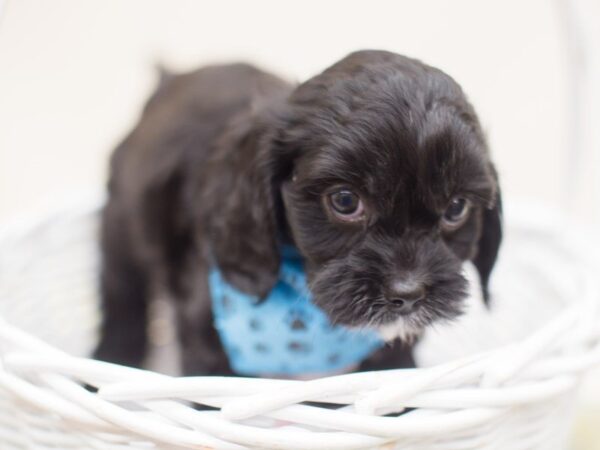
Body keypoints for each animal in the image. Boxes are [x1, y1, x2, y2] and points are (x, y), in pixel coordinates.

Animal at [95, 50, 502, 376]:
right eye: (345, 201)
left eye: (456, 208)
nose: (409, 294)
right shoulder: (204, 334)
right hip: (120, 222)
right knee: (121, 294)